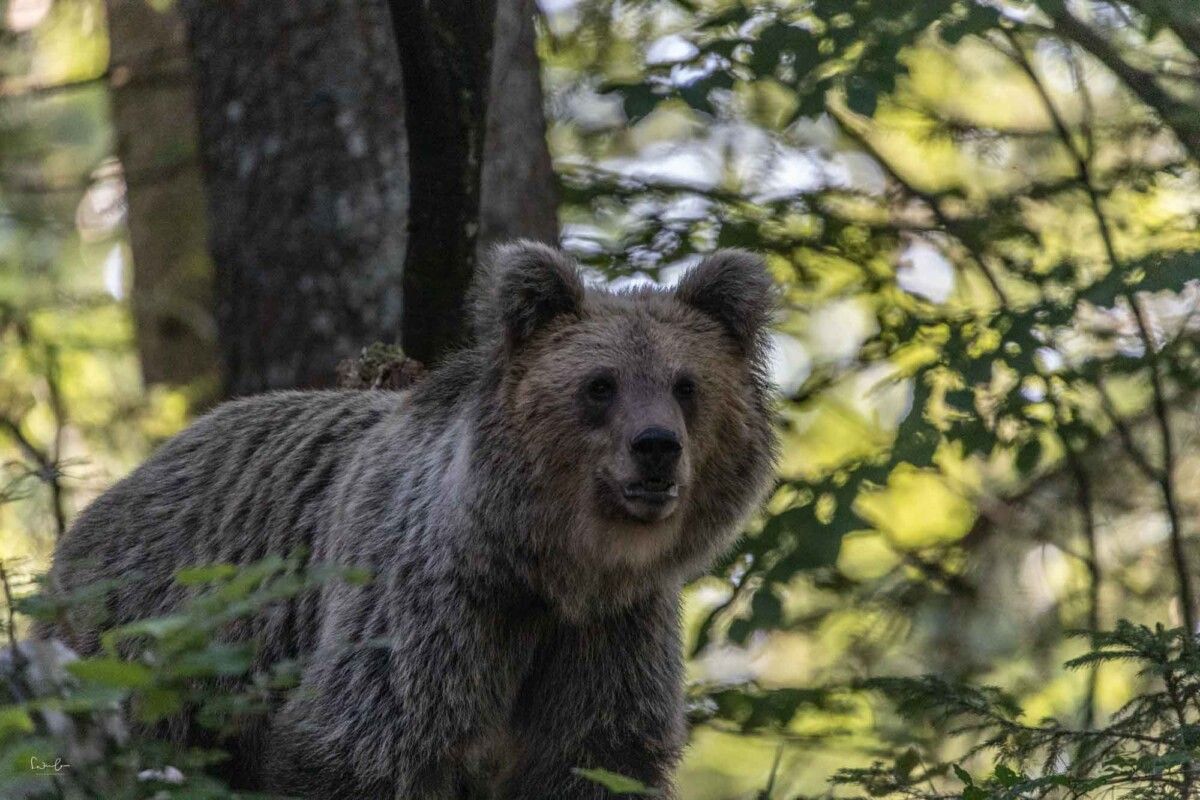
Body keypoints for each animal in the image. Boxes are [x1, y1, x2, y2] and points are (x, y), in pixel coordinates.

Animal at [39, 241, 777, 796]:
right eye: (600, 385)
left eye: (687, 385)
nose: (656, 448)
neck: (549, 569)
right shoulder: (428, 608)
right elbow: (360, 745)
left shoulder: (608, 635)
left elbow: (595, 761)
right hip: (148, 646)